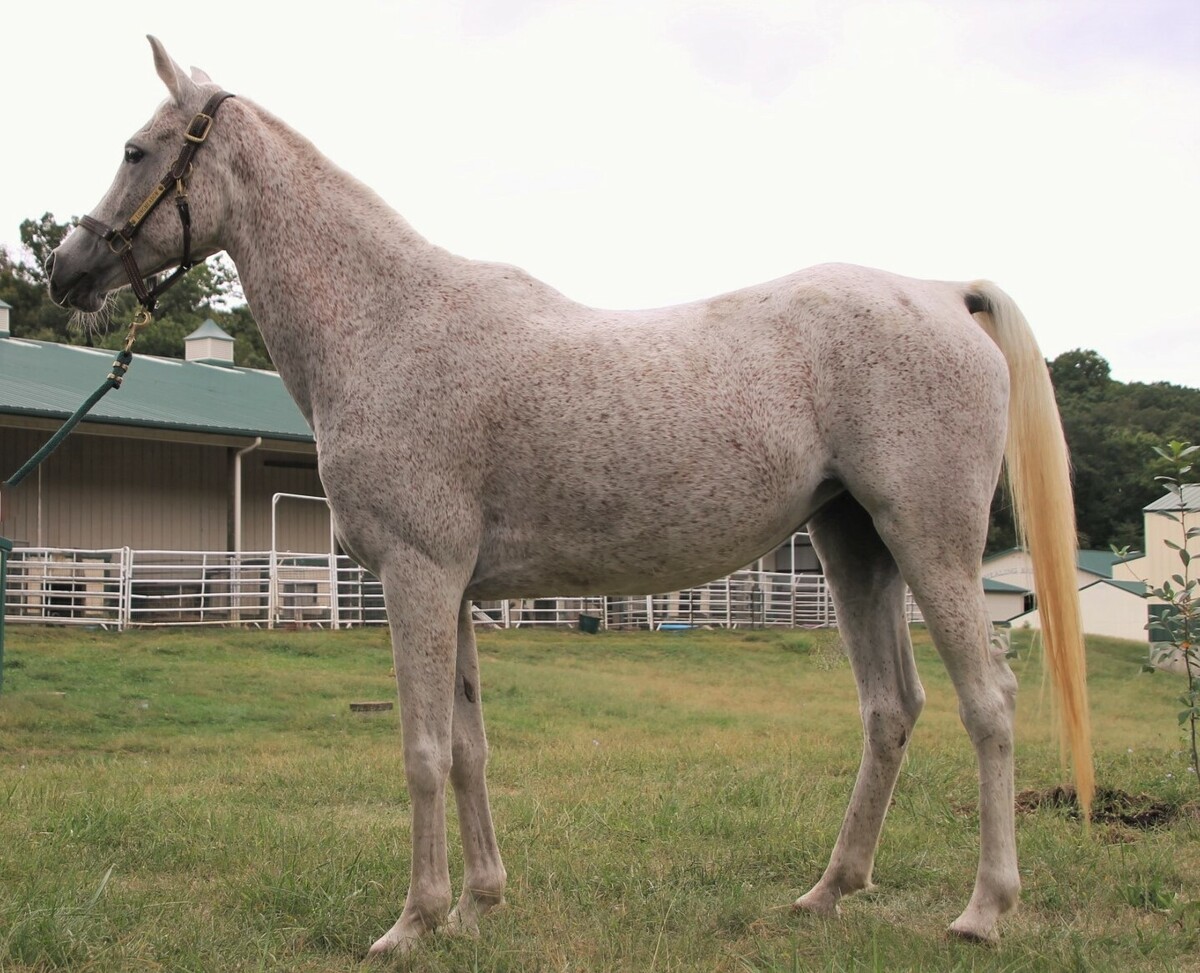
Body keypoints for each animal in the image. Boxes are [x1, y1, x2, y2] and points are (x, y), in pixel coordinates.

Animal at [46, 36, 1092, 955]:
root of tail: (943, 293)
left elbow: (421, 749)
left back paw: (983, 909)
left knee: (988, 702)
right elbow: (468, 747)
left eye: (136, 150)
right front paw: (476, 906)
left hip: (929, 542)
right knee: (891, 707)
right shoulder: (453, 590)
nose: (66, 269)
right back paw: (828, 890)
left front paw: (411, 922)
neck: (390, 323)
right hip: (853, 546)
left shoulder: (415, 578)